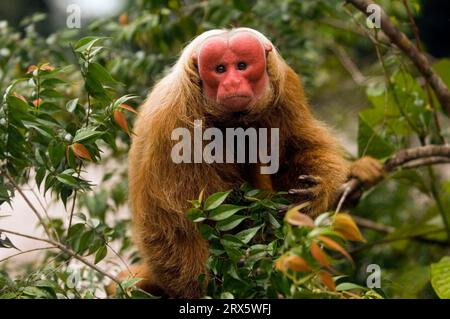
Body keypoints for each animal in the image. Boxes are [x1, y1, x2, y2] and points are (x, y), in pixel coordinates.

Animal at [119, 27, 380, 300]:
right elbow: (173, 225)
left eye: (241, 66)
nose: (232, 83)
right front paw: (207, 287)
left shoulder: (285, 85)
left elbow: (298, 149)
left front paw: (315, 192)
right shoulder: (171, 120)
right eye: (220, 69)